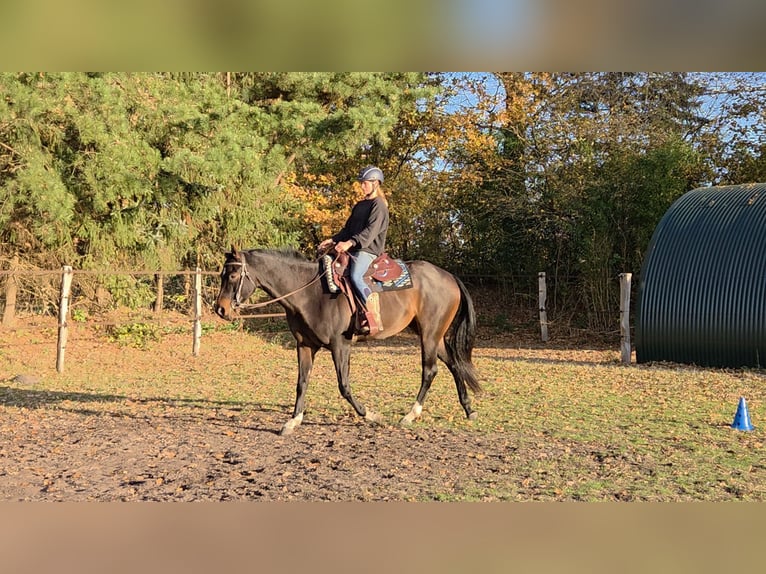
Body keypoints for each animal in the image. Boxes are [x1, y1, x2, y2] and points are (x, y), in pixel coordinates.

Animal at [214, 246, 482, 435]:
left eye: (234, 274)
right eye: (222, 274)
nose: (220, 309)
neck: (310, 293)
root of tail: (449, 276)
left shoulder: (339, 344)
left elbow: (343, 385)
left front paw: (370, 415)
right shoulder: (305, 345)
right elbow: (301, 382)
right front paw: (293, 420)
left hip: (429, 334)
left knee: (430, 370)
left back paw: (410, 414)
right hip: (433, 335)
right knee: (454, 364)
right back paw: (468, 409)